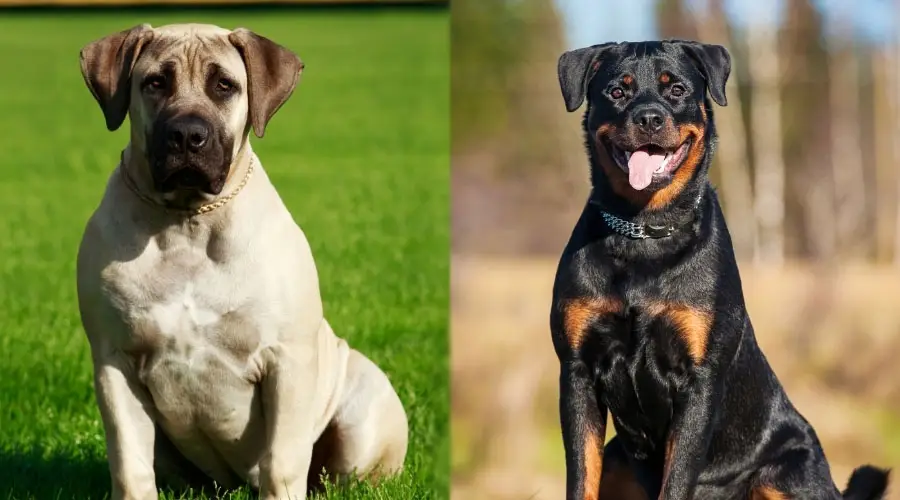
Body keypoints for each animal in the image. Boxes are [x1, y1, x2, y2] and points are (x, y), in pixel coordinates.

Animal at [75, 24, 410, 500]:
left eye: (224, 85)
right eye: (155, 83)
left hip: (362, 411)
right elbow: (130, 465)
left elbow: (281, 462)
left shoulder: (286, 362)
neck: (188, 222)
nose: (187, 135)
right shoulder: (115, 362)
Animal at [548, 41, 892, 500]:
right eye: (617, 91)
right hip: (619, 458)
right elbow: (582, 475)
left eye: (675, 89)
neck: (644, 231)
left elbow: (676, 480)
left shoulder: (699, 382)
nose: (649, 117)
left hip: (784, 473)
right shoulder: (577, 370)